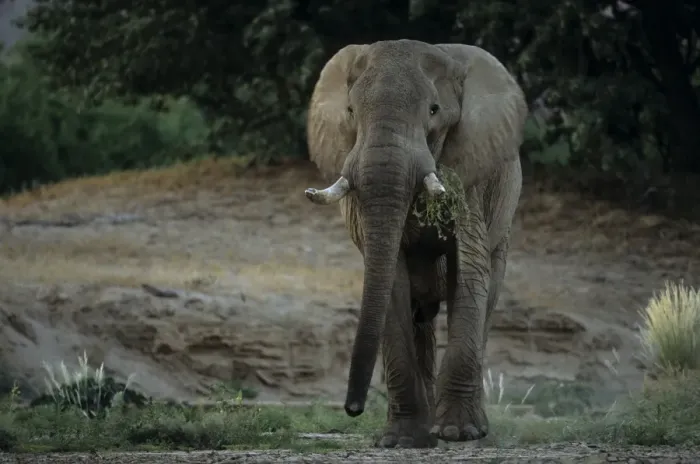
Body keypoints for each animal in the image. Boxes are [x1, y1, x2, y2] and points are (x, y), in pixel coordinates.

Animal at [303, 39, 528, 448]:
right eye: (350, 111)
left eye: (434, 111)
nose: (352, 409)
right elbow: (392, 280)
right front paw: (402, 440)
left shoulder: (469, 175)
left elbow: (469, 267)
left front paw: (458, 433)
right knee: (420, 315)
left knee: (488, 296)